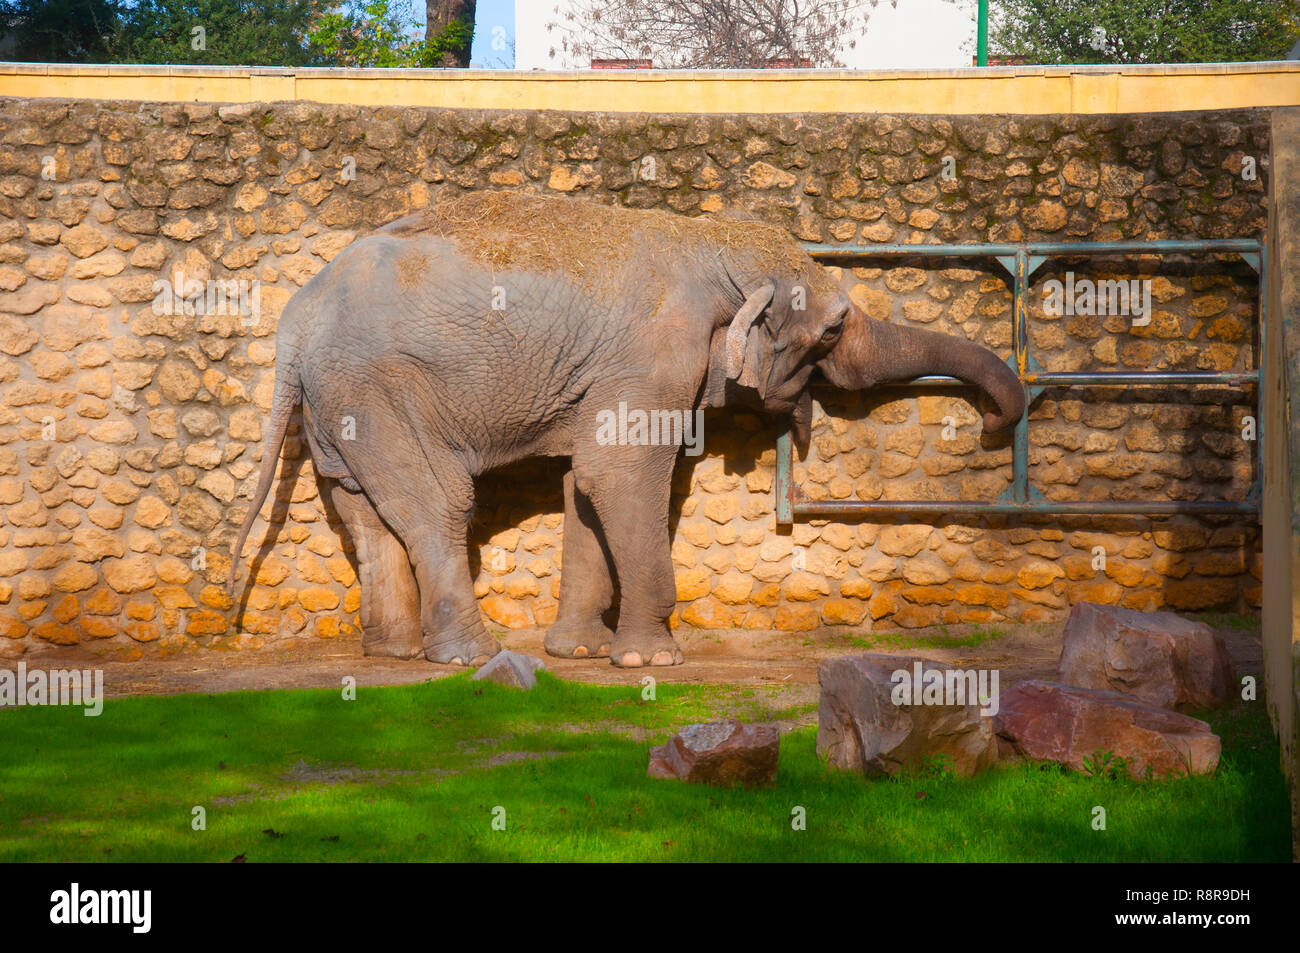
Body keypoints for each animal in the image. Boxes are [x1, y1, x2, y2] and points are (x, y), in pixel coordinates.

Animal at [228, 191, 1025, 668]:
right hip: (380, 392)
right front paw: (650, 661)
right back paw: (469, 657)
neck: (710, 244)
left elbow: (585, 482)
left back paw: (391, 655)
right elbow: (619, 476)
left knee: (361, 509)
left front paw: (577, 654)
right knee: (440, 505)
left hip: (337, 407)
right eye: (832, 330)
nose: (989, 421)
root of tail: (295, 320)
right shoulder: (656, 351)